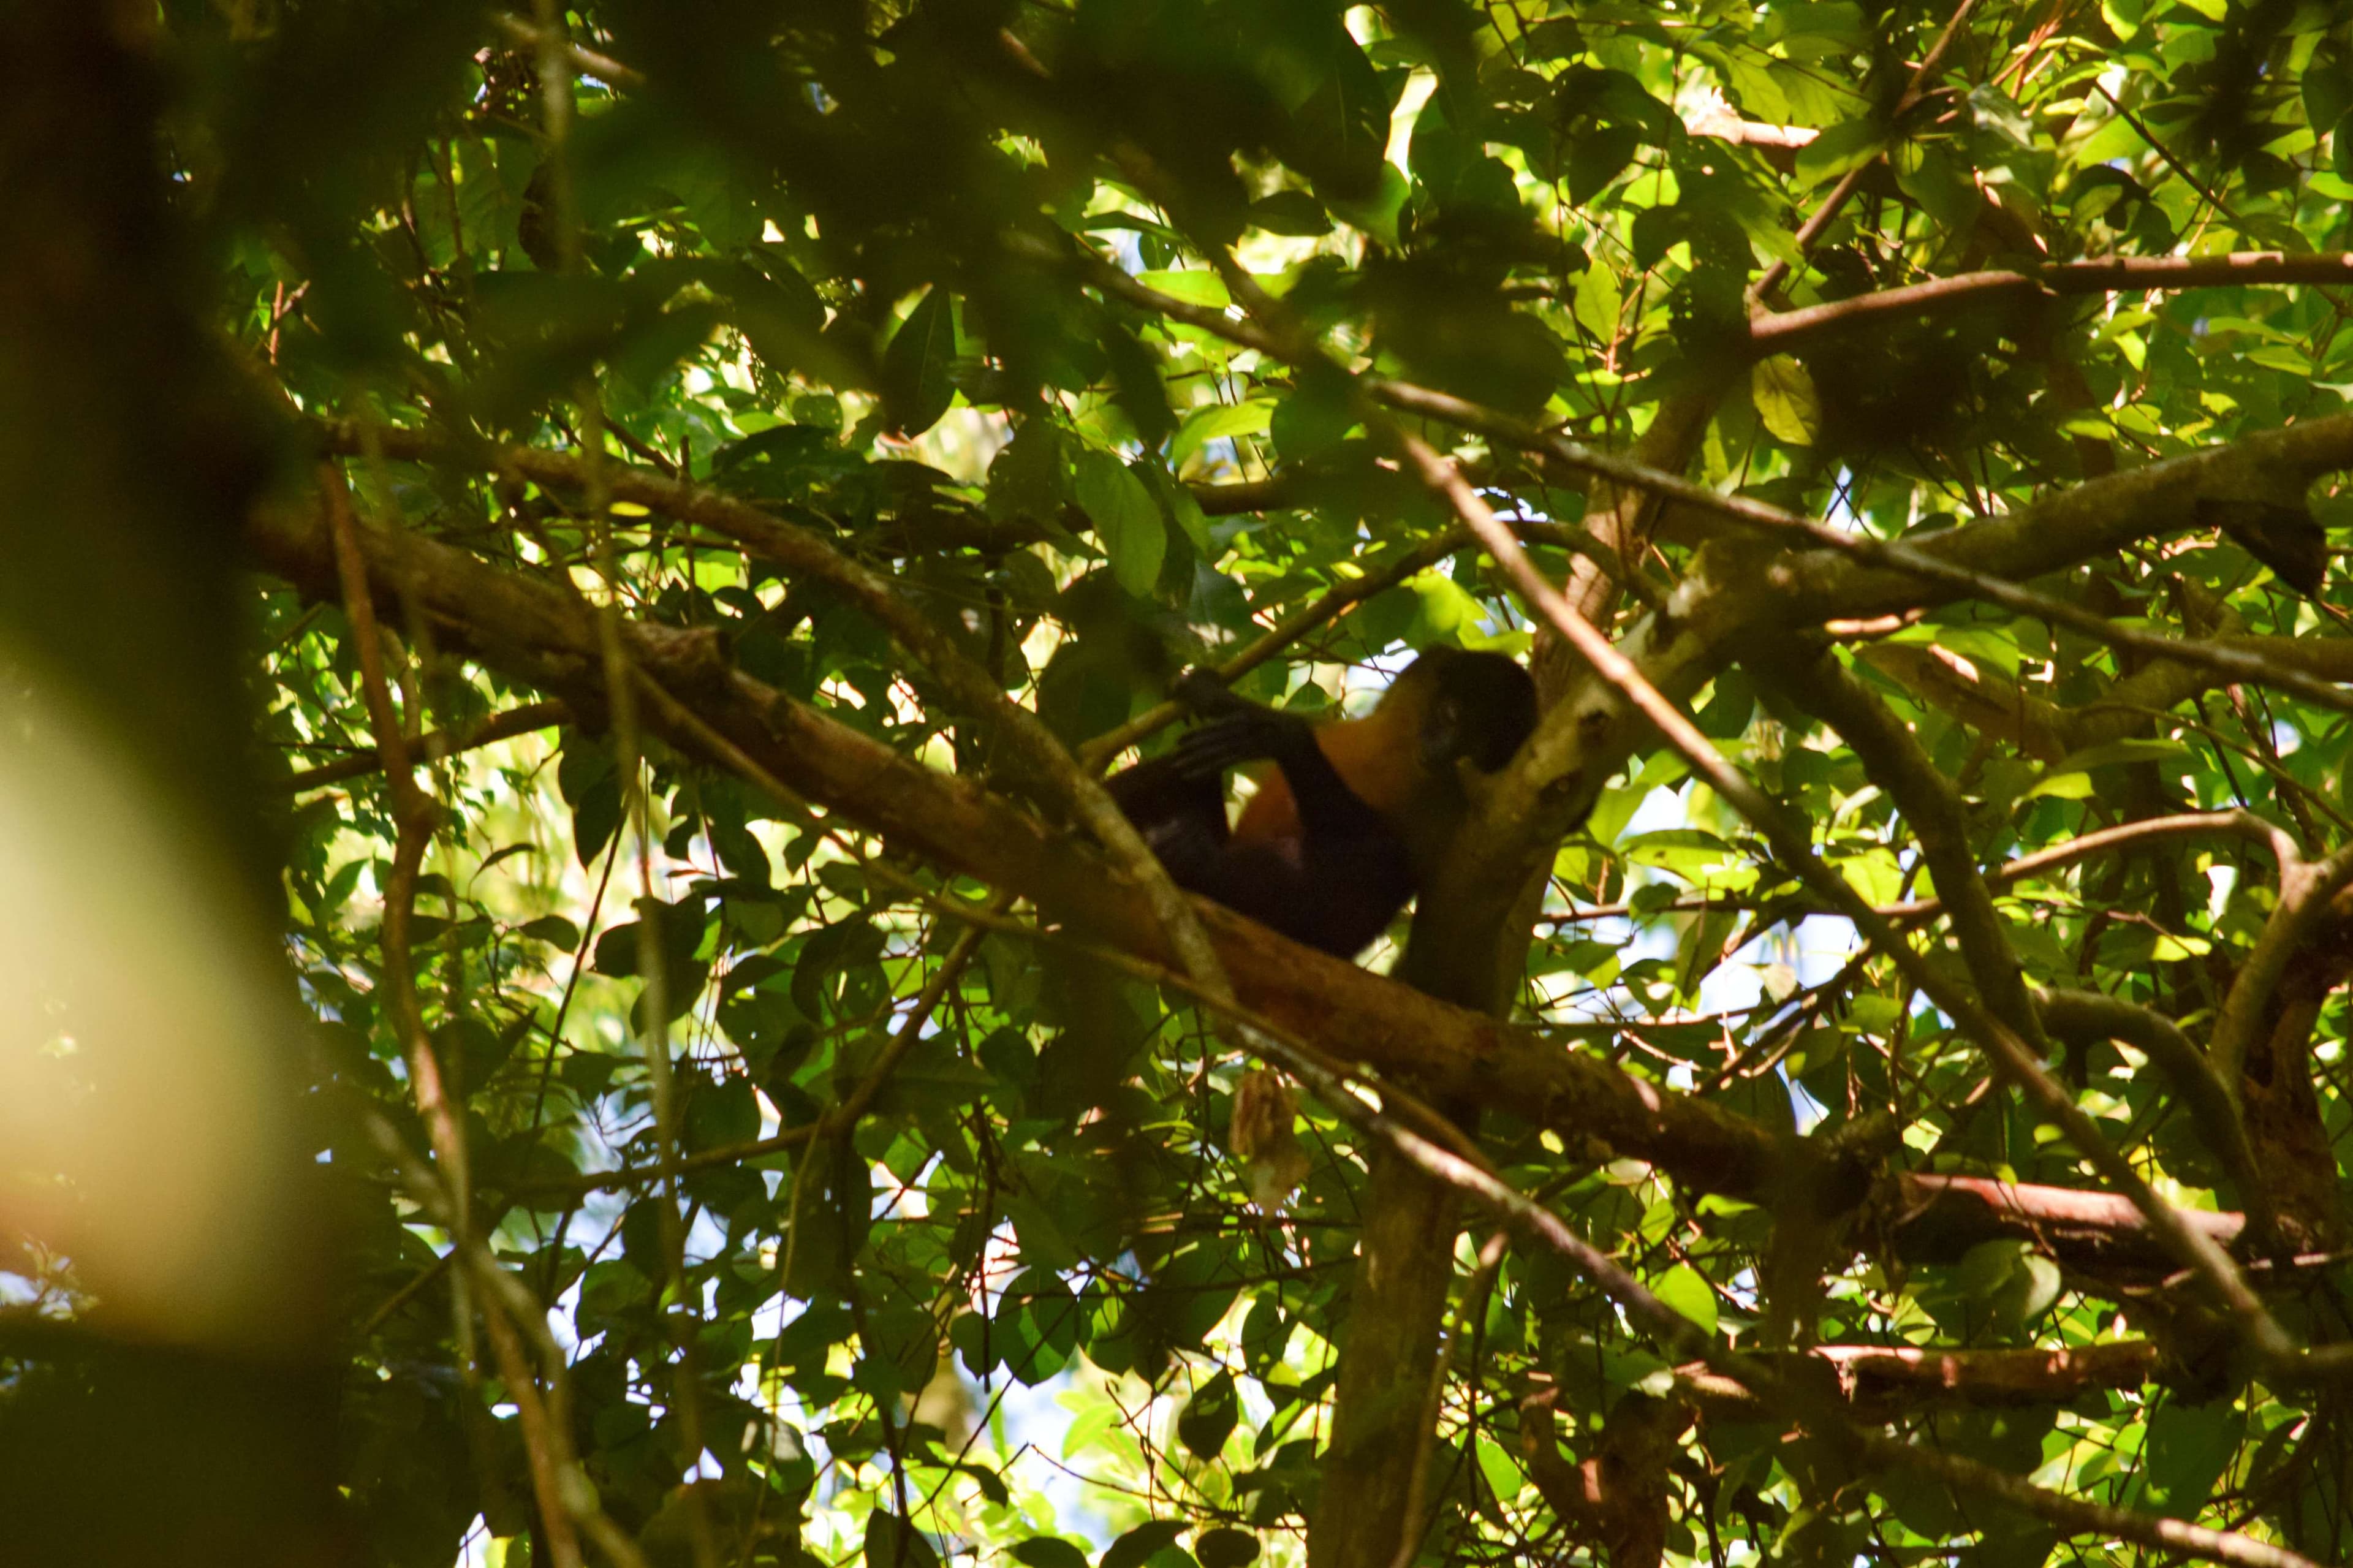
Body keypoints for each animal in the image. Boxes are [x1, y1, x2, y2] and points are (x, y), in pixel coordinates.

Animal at [1105, 647, 1539, 957]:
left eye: (1476, 746)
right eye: (1451, 716)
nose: (1442, 750)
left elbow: (1382, 854)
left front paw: (1278, 736)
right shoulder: (1426, 668)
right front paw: (1215, 697)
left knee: (1372, 861)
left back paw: (1190, 861)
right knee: (1188, 775)